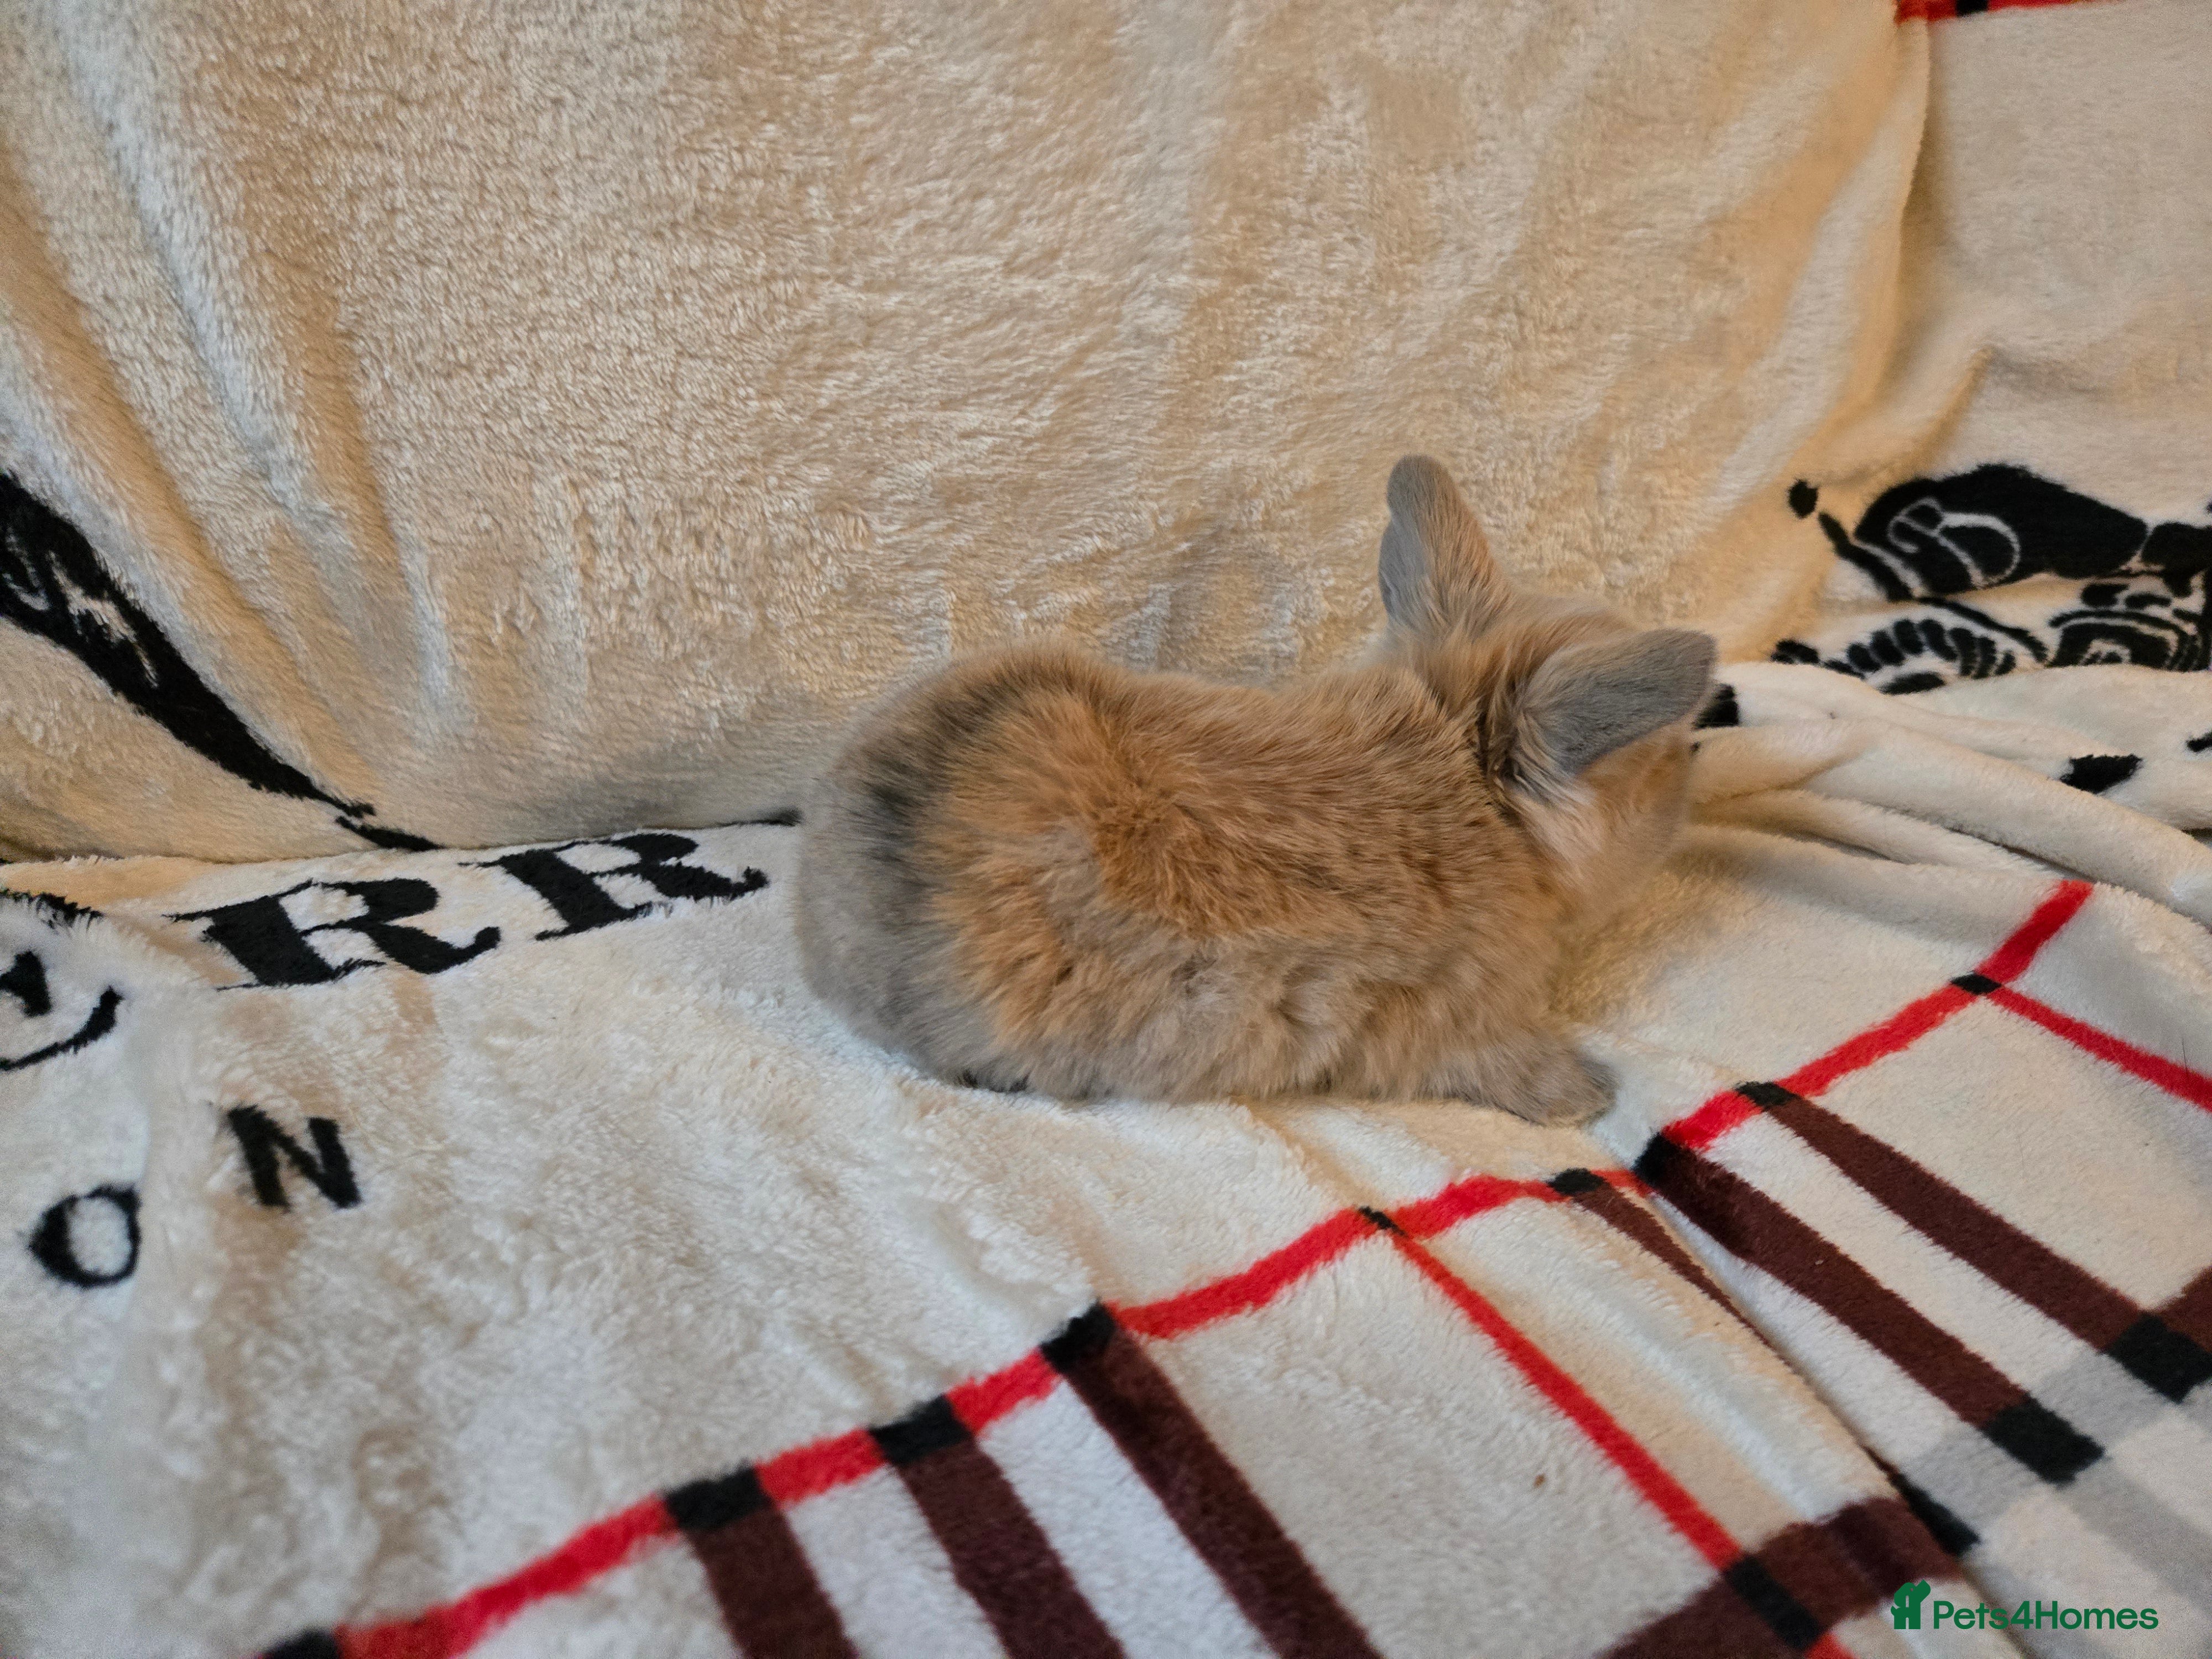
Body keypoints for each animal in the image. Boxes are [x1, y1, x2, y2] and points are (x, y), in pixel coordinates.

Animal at [794, 455, 1714, 1124]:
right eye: (1661, 766)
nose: (1699, 758)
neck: (1472, 784)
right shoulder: (1455, 1020)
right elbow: (1494, 1063)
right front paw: (1585, 1095)